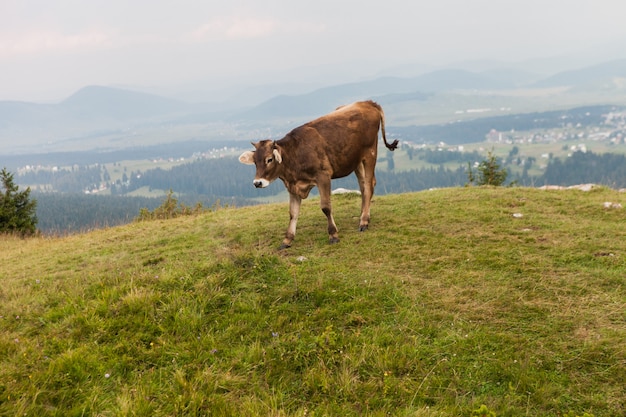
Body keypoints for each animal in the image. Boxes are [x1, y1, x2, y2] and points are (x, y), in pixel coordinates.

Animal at [238, 100, 394, 247]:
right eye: (255, 162)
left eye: (269, 159)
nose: (257, 182)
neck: (295, 154)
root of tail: (368, 103)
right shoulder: (293, 185)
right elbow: (293, 213)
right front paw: (287, 239)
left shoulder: (323, 176)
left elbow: (325, 207)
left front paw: (333, 235)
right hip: (356, 160)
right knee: (363, 186)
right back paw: (363, 215)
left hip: (370, 153)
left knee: (368, 185)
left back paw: (364, 221)